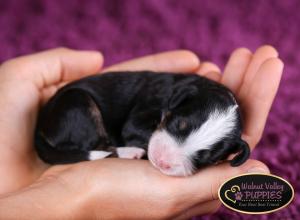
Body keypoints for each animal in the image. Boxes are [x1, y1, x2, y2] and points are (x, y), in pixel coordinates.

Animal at [35, 71, 251, 176]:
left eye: (205, 158)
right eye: (178, 124)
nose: (163, 161)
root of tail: (40, 123)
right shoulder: (139, 117)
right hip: (78, 103)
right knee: (99, 145)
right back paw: (131, 152)